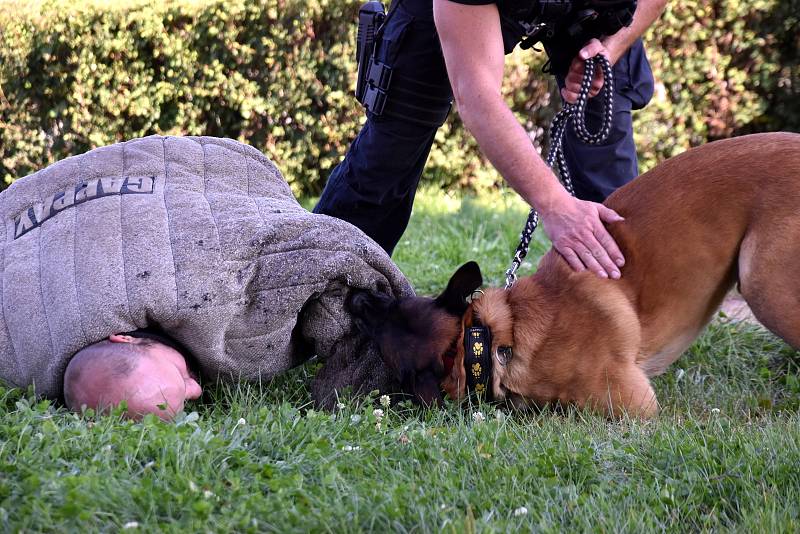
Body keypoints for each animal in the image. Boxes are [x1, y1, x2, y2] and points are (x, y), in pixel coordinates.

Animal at [348, 134, 800, 418]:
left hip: (764, 286)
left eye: (381, 322)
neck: (495, 339)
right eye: (391, 303)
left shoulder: (634, 406)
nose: (356, 297)